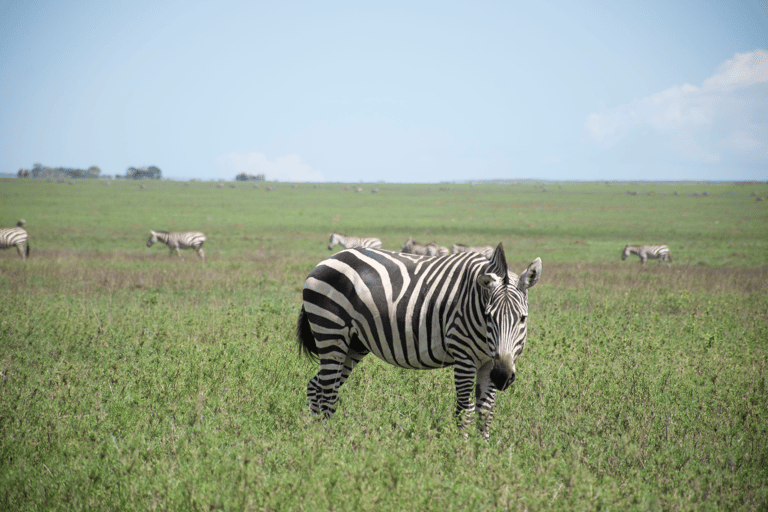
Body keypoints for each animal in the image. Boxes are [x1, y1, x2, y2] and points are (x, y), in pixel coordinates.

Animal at [296, 244, 544, 440]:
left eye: (523, 318)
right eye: (489, 316)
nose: (502, 376)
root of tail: (329, 259)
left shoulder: (488, 361)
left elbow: (486, 411)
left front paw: (482, 454)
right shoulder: (464, 356)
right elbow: (465, 410)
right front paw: (462, 456)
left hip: (354, 343)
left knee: (317, 386)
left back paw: (318, 437)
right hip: (331, 331)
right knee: (326, 391)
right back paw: (326, 443)